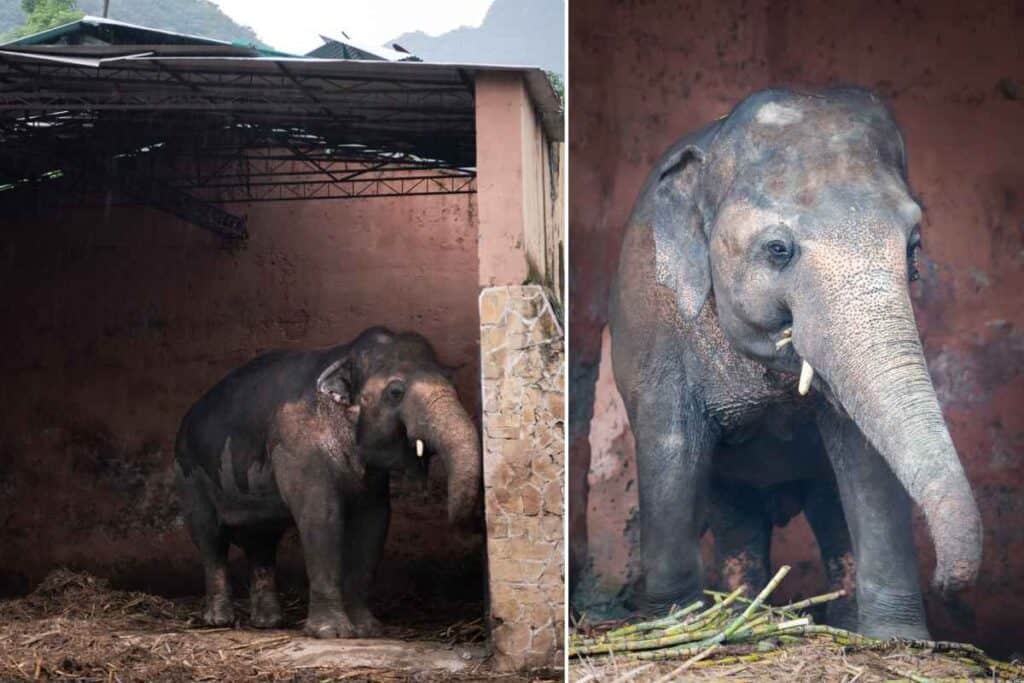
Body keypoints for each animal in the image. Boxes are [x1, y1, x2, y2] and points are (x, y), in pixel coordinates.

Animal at [174, 326, 481, 638]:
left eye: (452, 382)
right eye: (396, 392)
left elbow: (374, 522)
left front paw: (367, 629)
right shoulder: (300, 449)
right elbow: (321, 516)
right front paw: (331, 633)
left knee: (262, 542)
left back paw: (268, 623)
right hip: (189, 474)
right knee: (209, 536)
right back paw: (219, 620)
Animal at [608, 87, 982, 639]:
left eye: (914, 248)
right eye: (778, 249)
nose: (945, 583)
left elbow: (868, 461)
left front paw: (899, 639)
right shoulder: (653, 319)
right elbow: (669, 446)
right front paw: (671, 622)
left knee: (825, 510)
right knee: (735, 515)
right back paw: (735, 614)